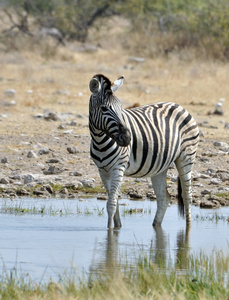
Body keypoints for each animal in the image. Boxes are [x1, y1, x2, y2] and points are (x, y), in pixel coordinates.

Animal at [88, 75, 199, 230]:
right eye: (104, 108)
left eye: (121, 107)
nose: (127, 138)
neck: (99, 140)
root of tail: (179, 106)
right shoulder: (103, 171)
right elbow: (114, 202)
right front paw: (117, 228)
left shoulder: (118, 167)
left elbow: (111, 204)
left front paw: (110, 231)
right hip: (160, 166)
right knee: (164, 197)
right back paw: (156, 225)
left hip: (186, 157)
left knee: (187, 195)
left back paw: (188, 229)